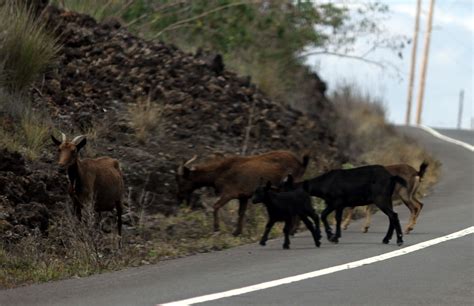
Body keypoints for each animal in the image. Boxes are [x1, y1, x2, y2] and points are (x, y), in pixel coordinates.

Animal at [176, 151, 310, 237]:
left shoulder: (229, 192)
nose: (179, 197)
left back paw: (293, 230)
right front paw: (237, 232)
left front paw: (216, 229)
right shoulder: (243, 196)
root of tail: (302, 164)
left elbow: (216, 206)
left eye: (182, 179)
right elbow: (241, 212)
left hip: (290, 184)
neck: (215, 177)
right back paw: (294, 229)